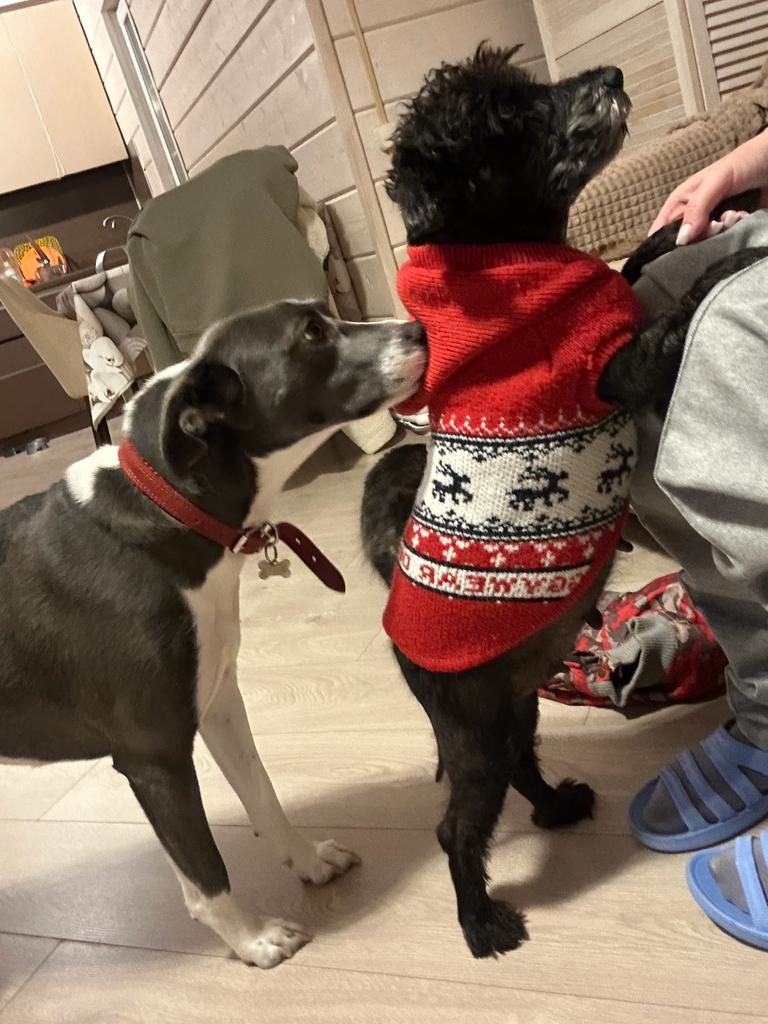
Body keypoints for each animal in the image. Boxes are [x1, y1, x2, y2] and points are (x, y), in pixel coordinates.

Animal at [0, 300, 426, 967]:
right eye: (312, 333)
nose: (420, 329)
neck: (168, 507)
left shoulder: (220, 697)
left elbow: (263, 793)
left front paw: (308, 862)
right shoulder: (154, 757)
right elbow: (204, 871)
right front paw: (254, 940)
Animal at [360, 44, 768, 960]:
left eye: (524, 85)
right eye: (511, 119)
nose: (610, 74)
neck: (510, 266)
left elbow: (644, 256)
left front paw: (705, 211)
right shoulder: (624, 365)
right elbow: (690, 299)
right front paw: (740, 257)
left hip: (511, 712)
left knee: (520, 767)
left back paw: (557, 807)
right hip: (474, 731)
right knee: (456, 830)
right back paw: (482, 923)